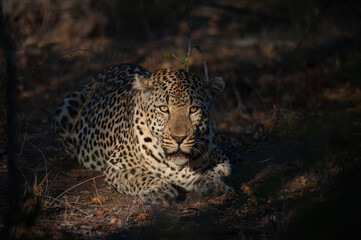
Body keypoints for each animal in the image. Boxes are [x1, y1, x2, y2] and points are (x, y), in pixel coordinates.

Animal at [52, 62, 232, 203]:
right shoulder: (115, 166)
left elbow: (213, 171)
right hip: (65, 111)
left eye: (193, 109)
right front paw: (159, 190)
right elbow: (137, 175)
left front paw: (214, 184)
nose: (179, 138)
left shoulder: (222, 159)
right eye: (163, 108)